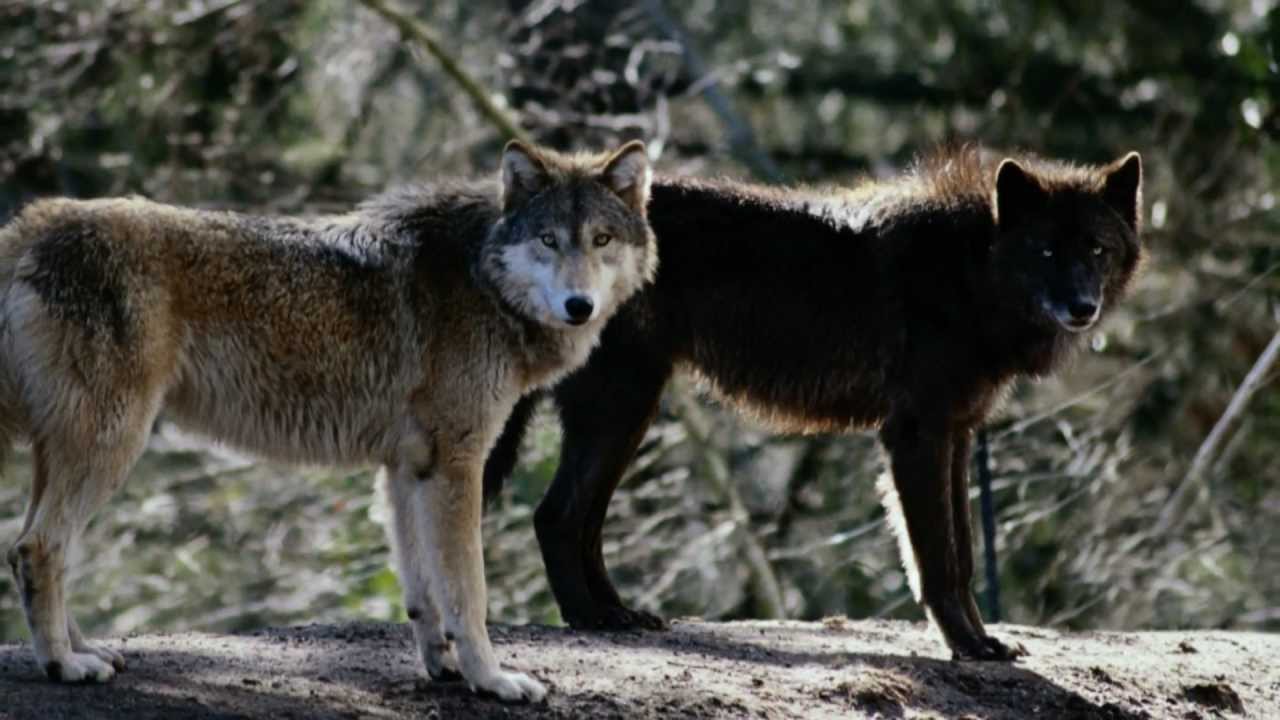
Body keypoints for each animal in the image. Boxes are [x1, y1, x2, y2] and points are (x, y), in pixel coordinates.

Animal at [0, 139, 657, 702]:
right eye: (548, 239)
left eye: (601, 239)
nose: (579, 306)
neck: (480, 275)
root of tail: (31, 224)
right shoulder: (458, 463)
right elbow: (468, 592)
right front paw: (492, 681)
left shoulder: (407, 469)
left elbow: (423, 593)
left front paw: (443, 668)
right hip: (112, 445)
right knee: (37, 547)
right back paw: (63, 665)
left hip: (70, 451)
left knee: (35, 547)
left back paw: (85, 649)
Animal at [486, 147, 1144, 661]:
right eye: (1046, 252)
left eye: (1097, 249)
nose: (1083, 307)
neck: (972, 269)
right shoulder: (917, 433)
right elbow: (938, 558)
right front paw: (966, 645)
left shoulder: (956, 432)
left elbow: (963, 554)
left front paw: (982, 642)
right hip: (621, 405)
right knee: (556, 515)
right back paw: (589, 618)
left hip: (630, 411)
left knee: (583, 521)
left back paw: (620, 615)